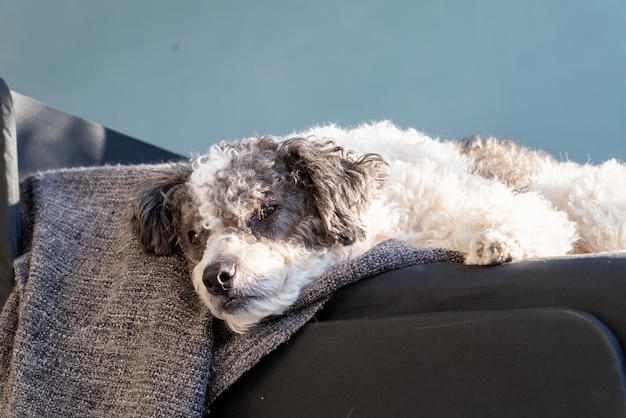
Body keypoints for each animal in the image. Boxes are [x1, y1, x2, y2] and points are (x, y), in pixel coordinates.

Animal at [133, 121, 624, 334]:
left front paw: (497, 240)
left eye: (267, 209)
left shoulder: (499, 201)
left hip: (589, 196)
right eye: (195, 237)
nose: (216, 276)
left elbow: (527, 217)